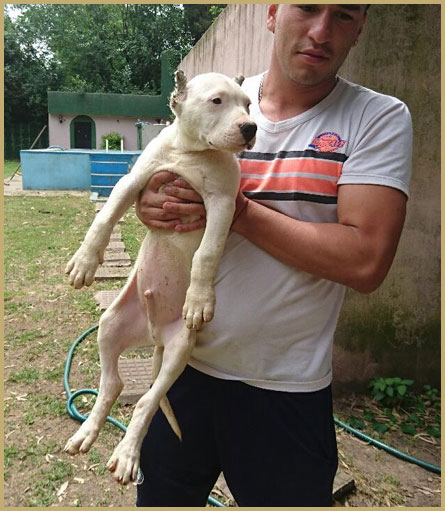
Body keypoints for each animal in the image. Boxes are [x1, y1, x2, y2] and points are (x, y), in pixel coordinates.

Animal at [63, 71, 255, 484]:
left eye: (249, 104)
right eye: (217, 101)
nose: (251, 127)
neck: (189, 151)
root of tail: (153, 335)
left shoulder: (221, 204)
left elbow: (206, 253)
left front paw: (198, 300)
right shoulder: (133, 182)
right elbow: (105, 217)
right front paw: (84, 262)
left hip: (180, 348)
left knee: (147, 402)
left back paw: (127, 455)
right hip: (111, 323)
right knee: (113, 384)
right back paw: (87, 431)